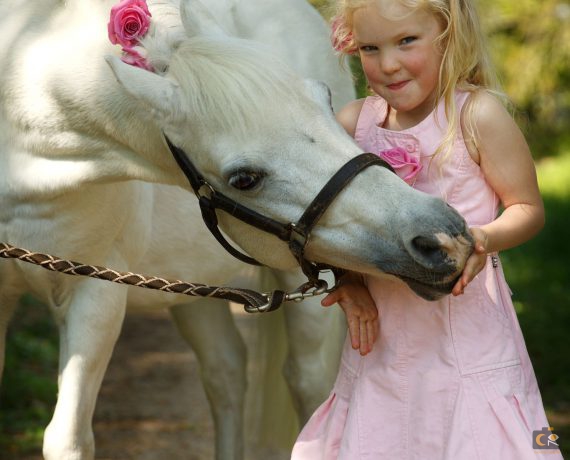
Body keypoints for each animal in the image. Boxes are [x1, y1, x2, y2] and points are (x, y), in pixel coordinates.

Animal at [0, 0, 472, 460]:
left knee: (305, 381)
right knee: (224, 373)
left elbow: (69, 439)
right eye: (244, 179)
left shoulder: (96, 295)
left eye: (323, 98)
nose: (440, 236)